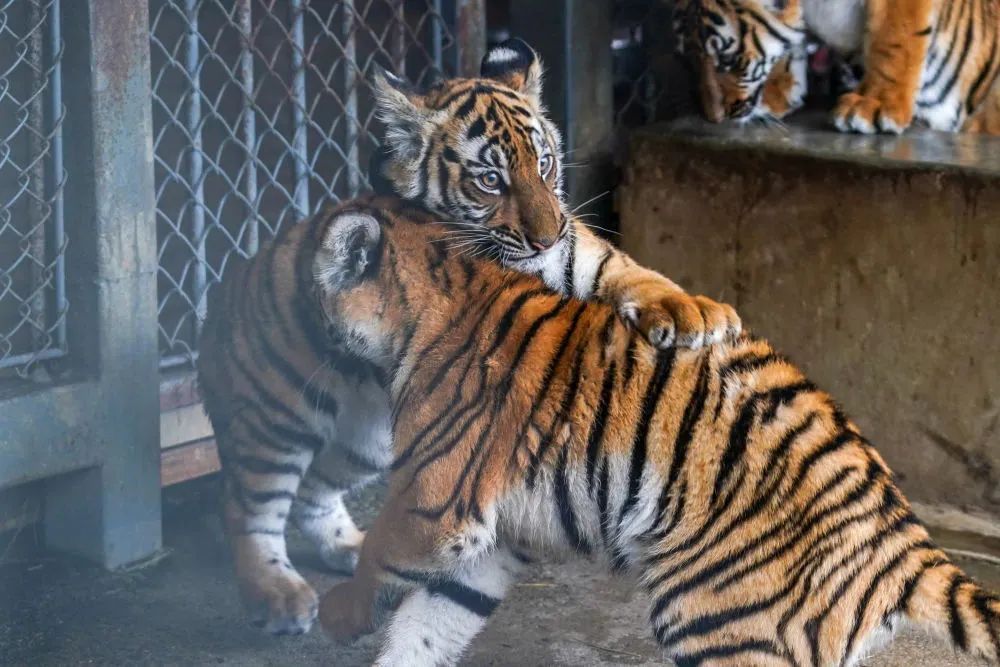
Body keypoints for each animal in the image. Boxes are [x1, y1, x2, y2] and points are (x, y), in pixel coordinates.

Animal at [197, 40, 744, 636]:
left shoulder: (574, 249)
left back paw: (347, 547)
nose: (546, 236)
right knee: (247, 507)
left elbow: (615, 264)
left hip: (367, 439)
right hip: (274, 423)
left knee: (314, 489)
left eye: (544, 163)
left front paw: (694, 309)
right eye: (489, 180)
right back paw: (276, 594)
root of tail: (218, 300)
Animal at [314, 204, 1000, 667]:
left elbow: (381, 551)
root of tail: (905, 543)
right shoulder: (496, 534)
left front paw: (341, 611)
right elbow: (433, 618)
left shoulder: (435, 501)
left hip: (717, 622)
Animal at [672, 0, 1000, 134]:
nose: (714, 118)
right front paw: (776, 92)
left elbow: (895, 32)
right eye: (689, 60)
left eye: (728, 61)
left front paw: (874, 105)